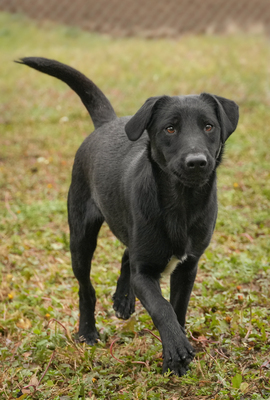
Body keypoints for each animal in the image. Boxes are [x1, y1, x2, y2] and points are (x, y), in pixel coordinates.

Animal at [17, 57, 238, 376]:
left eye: (209, 126)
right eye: (170, 129)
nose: (196, 162)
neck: (180, 203)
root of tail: (107, 123)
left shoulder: (188, 267)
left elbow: (177, 308)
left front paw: (176, 348)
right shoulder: (144, 272)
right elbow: (161, 307)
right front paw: (175, 351)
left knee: (125, 254)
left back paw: (123, 300)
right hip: (80, 237)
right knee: (86, 287)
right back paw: (87, 331)